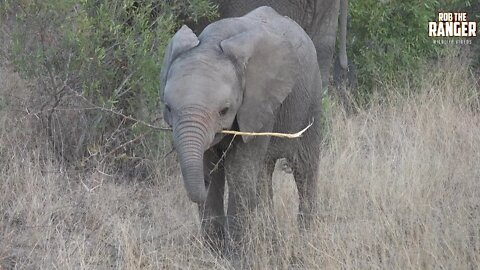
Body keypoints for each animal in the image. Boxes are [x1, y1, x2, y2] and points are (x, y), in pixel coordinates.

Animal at [161, 6, 322, 254]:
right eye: (168, 108)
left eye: (224, 110)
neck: (213, 41)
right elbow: (211, 168)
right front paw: (214, 254)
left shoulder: (258, 102)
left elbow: (239, 172)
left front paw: (235, 256)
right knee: (263, 174)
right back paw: (271, 242)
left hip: (311, 97)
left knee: (304, 168)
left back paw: (305, 240)